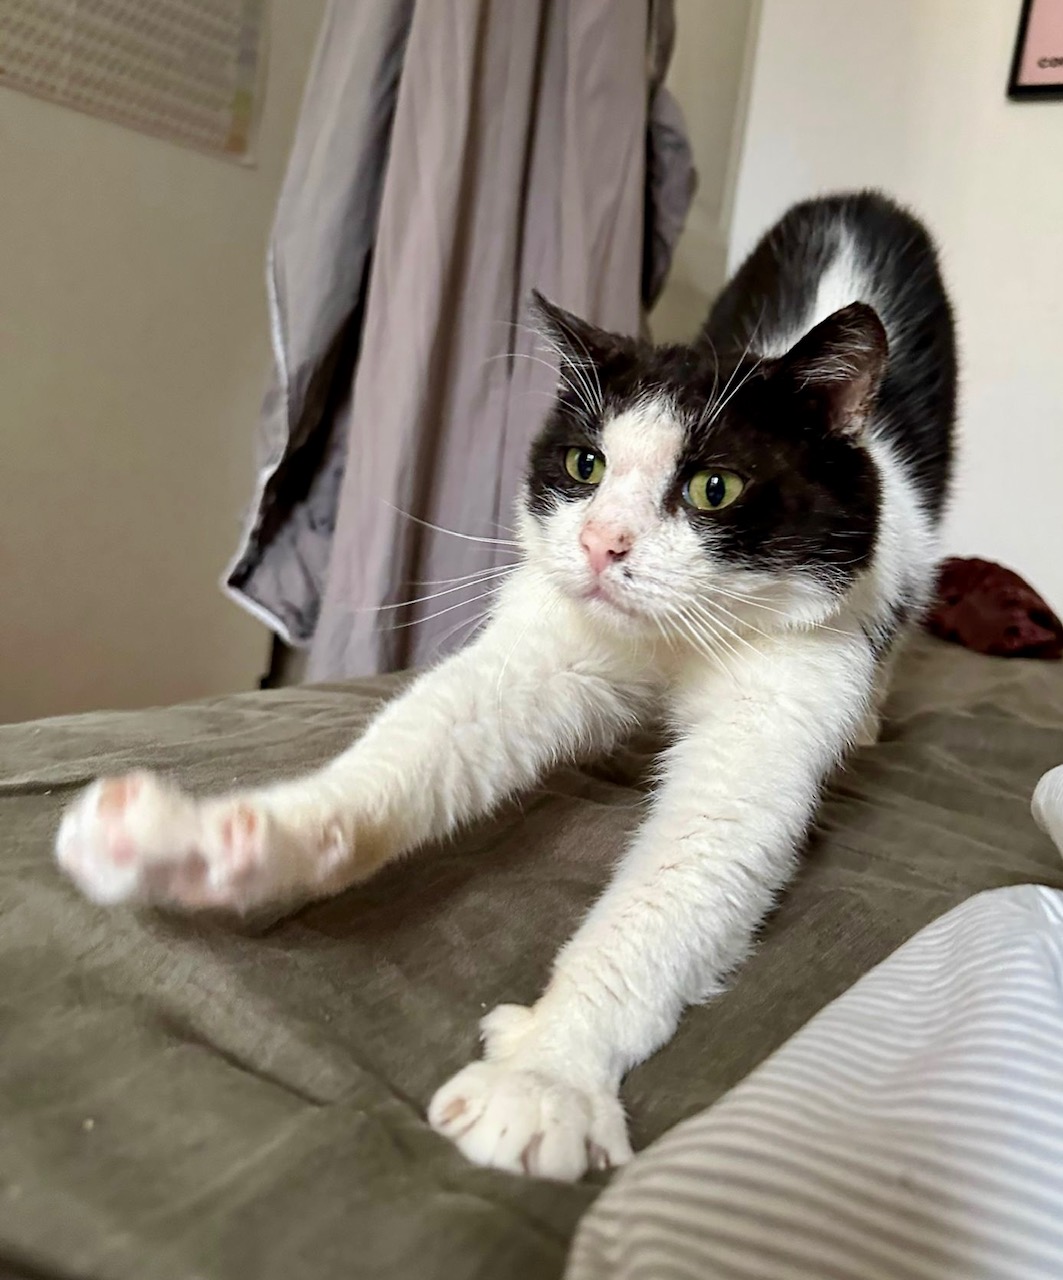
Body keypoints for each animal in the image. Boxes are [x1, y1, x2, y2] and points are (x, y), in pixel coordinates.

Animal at [55, 190, 956, 1182]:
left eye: (713, 487)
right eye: (583, 467)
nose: (599, 544)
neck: (672, 644)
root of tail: (854, 204)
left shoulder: (791, 679)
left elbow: (690, 865)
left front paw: (544, 1078)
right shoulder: (549, 637)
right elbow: (431, 738)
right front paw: (213, 843)